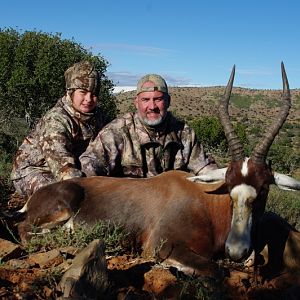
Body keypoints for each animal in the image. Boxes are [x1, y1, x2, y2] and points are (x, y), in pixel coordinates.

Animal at [17, 62, 300, 276]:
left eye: (263, 189)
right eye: (229, 187)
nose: (236, 251)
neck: (207, 203)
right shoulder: (161, 246)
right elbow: (217, 270)